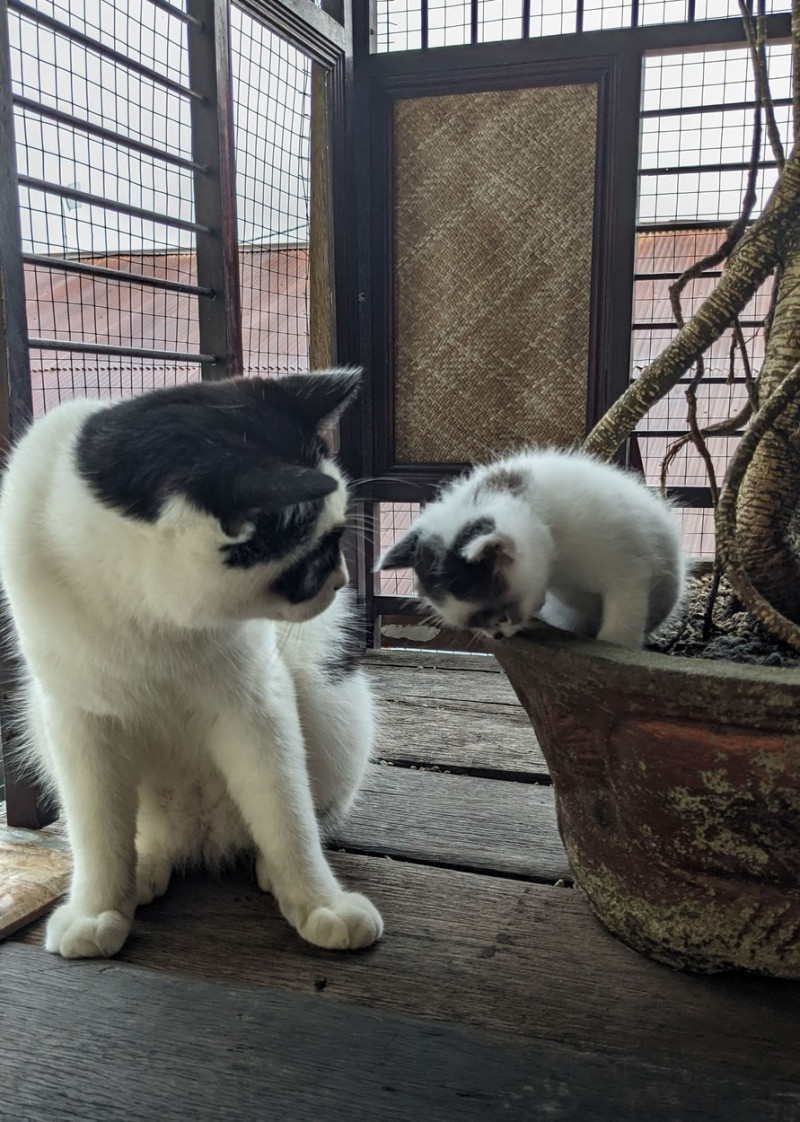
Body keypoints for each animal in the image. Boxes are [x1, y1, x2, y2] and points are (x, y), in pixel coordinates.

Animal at [0, 368, 383, 955]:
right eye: (318, 554)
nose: (341, 580)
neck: (149, 613)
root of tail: (203, 837)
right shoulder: (77, 720)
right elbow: (97, 831)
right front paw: (97, 908)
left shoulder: (256, 706)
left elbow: (287, 818)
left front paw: (319, 901)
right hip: (44, 724)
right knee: (137, 832)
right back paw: (144, 867)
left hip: (329, 703)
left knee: (294, 815)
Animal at [376, 451, 682, 655]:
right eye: (476, 624)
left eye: (500, 614)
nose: (497, 636)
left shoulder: (627, 572)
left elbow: (619, 631)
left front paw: (614, 644)